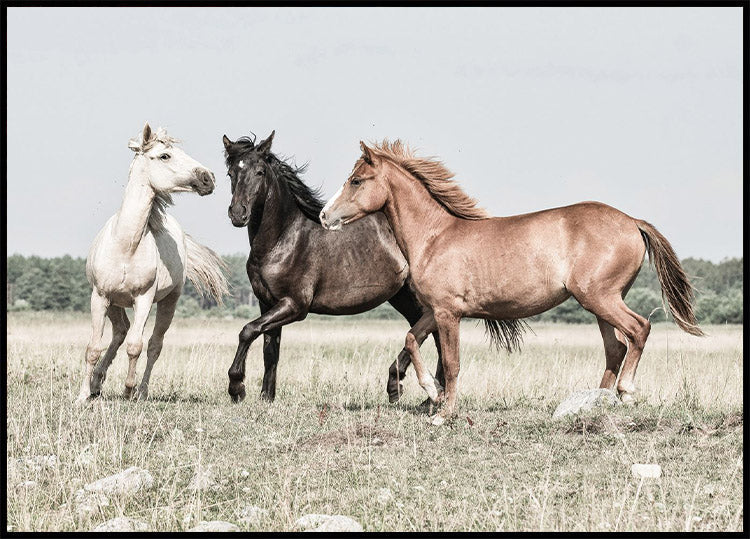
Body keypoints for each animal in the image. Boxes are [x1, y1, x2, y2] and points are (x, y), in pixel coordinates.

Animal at [76, 123, 231, 404]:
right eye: (164, 156)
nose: (209, 178)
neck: (125, 245)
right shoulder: (100, 296)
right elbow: (93, 347)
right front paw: (82, 395)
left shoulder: (144, 298)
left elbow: (136, 346)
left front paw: (128, 389)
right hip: (114, 302)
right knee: (120, 332)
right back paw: (96, 383)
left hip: (169, 301)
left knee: (153, 345)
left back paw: (141, 391)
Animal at [220, 130, 444, 400]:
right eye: (231, 173)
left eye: (260, 172)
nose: (238, 214)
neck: (282, 240)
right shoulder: (267, 303)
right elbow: (270, 350)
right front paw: (266, 397)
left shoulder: (294, 305)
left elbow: (248, 330)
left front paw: (237, 387)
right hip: (402, 296)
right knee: (426, 331)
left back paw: (413, 388)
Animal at [322, 140, 704, 426]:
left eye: (356, 180)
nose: (325, 216)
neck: (434, 237)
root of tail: (632, 221)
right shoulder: (435, 310)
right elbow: (411, 340)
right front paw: (430, 392)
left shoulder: (448, 313)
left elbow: (452, 363)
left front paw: (443, 414)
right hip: (600, 304)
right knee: (616, 347)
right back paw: (594, 402)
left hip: (602, 298)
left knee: (639, 329)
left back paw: (625, 392)